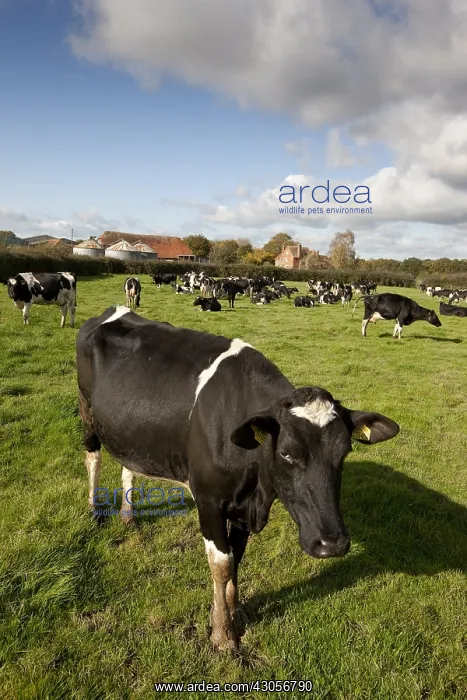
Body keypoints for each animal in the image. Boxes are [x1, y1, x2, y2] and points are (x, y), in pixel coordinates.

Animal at [76, 307, 400, 650]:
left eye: (344, 451)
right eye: (286, 453)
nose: (332, 544)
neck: (256, 489)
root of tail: (113, 311)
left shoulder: (243, 505)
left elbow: (237, 557)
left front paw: (235, 609)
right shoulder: (208, 500)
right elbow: (222, 564)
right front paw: (222, 632)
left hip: (130, 433)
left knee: (128, 466)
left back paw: (128, 516)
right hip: (87, 412)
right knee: (93, 457)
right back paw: (94, 511)